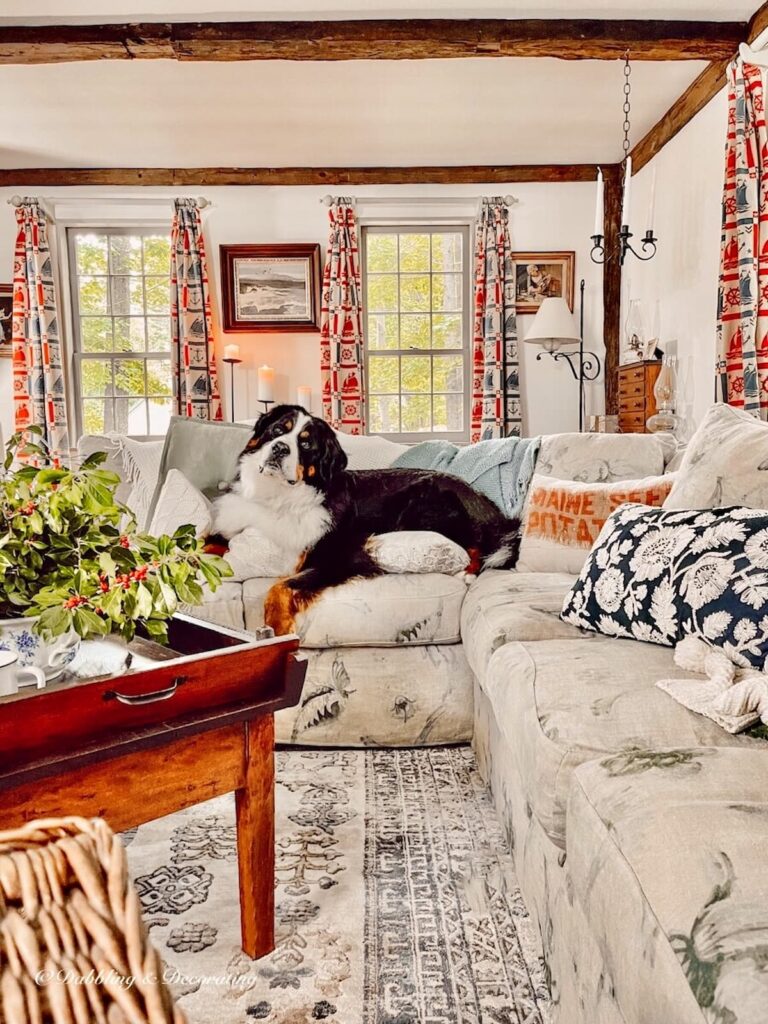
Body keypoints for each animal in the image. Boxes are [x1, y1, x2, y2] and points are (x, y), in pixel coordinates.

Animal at [210, 405, 524, 630]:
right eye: (277, 430)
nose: (279, 449)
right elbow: (210, 544)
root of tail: (482, 500)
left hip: (426, 500)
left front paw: (276, 629)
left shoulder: (340, 555)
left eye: (306, 445)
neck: (276, 497)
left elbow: (280, 588)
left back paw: (467, 572)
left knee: (476, 546)